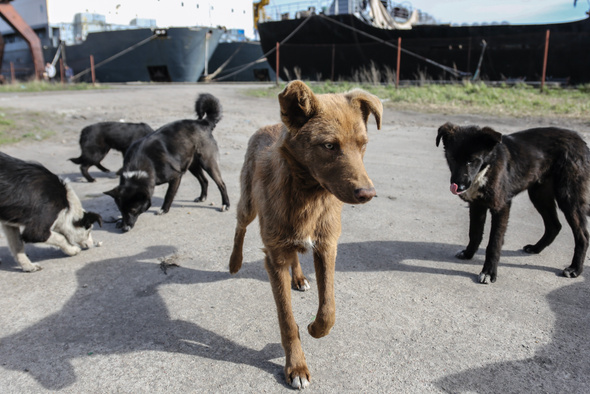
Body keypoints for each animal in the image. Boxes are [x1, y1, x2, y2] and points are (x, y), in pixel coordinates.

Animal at [105, 92, 230, 232]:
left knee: (221, 184)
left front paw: (164, 210)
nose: (125, 228)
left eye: (133, 210)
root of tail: (203, 122)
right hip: (191, 165)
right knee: (204, 180)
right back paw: (202, 197)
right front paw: (120, 221)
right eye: (121, 210)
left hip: (207, 163)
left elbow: (169, 194)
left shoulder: (176, 176)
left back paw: (225, 204)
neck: (142, 162)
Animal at [229, 81, 382, 388]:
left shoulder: (327, 247)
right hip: (248, 204)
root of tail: (269, 125)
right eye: (329, 146)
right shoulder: (274, 259)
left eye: (363, 144)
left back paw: (298, 278)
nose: (368, 194)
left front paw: (314, 328)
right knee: (240, 225)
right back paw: (234, 262)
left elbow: (328, 309)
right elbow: (287, 321)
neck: (308, 197)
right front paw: (296, 366)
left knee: (296, 255)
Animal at [438, 123, 590, 284]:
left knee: (583, 235)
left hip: (568, 197)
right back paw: (536, 248)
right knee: (554, 225)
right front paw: (468, 254)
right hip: (539, 195)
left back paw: (575, 269)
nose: (459, 187)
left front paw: (489, 272)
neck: (487, 168)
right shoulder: (477, 205)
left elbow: (494, 243)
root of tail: (580, 141)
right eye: (452, 158)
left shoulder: (501, 207)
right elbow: (474, 233)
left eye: (472, 160)